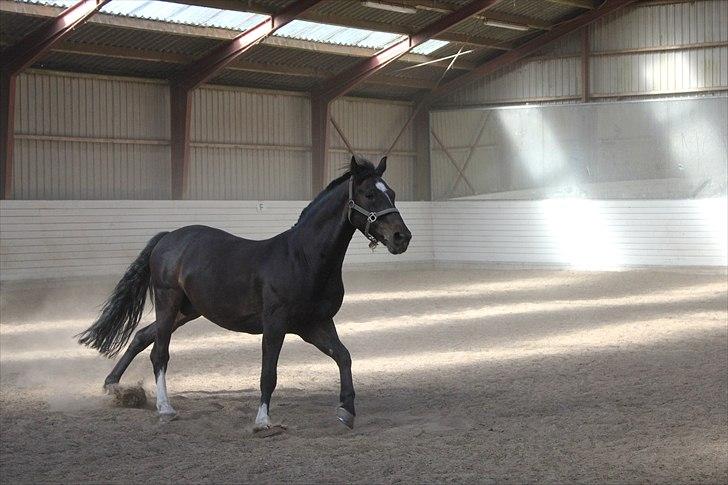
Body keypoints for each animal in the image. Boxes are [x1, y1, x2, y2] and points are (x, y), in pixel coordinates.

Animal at [77, 156, 412, 432]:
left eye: (393, 193)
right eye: (369, 194)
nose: (402, 237)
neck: (303, 259)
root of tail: (168, 238)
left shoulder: (315, 324)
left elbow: (344, 356)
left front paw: (347, 412)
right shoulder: (275, 325)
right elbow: (269, 372)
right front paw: (263, 421)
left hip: (187, 310)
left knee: (142, 336)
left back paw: (115, 387)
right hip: (167, 301)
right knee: (159, 352)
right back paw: (164, 408)